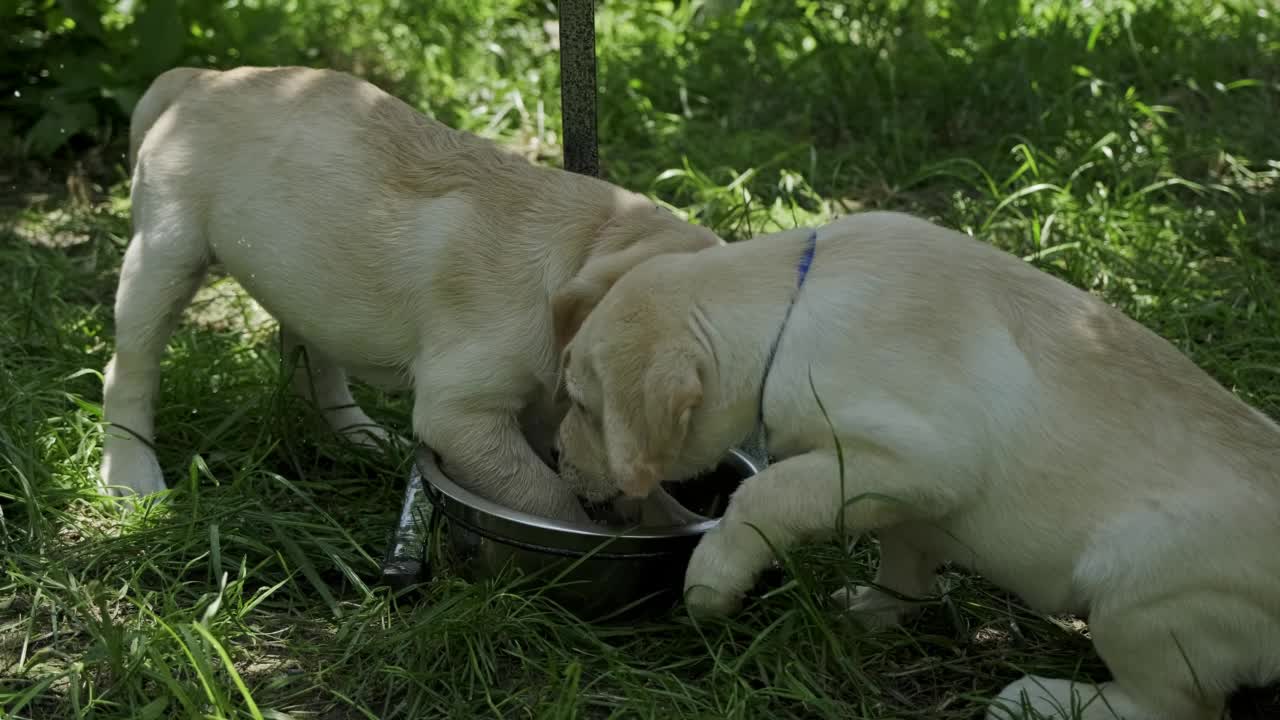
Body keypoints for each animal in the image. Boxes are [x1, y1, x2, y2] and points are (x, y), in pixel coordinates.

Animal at [99, 65, 721, 520]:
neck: (586, 243)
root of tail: (198, 78)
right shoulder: (461, 413)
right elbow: (548, 498)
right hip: (164, 255)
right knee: (129, 370)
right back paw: (131, 474)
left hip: (309, 288)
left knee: (312, 367)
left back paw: (363, 437)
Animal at [555, 208, 1280, 717]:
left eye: (584, 406)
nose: (559, 456)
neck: (789, 309)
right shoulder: (902, 492)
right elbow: (904, 552)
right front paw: (877, 609)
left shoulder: (915, 458)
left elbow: (765, 496)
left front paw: (712, 580)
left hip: (1140, 599)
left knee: (1178, 707)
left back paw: (1039, 700)